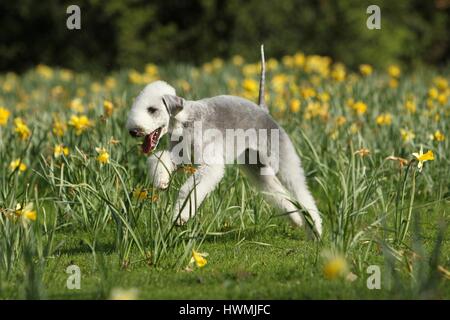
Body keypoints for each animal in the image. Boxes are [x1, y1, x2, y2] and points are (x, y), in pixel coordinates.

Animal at [126, 50, 324, 236]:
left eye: (152, 109)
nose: (133, 131)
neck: (185, 122)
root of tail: (263, 109)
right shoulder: (179, 156)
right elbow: (161, 159)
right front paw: (162, 181)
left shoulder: (209, 164)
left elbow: (188, 189)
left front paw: (180, 217)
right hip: (256, 166)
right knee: (275, 190)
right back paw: (296, 220)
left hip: (280, 157)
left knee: (301, 191)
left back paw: (316, 231)